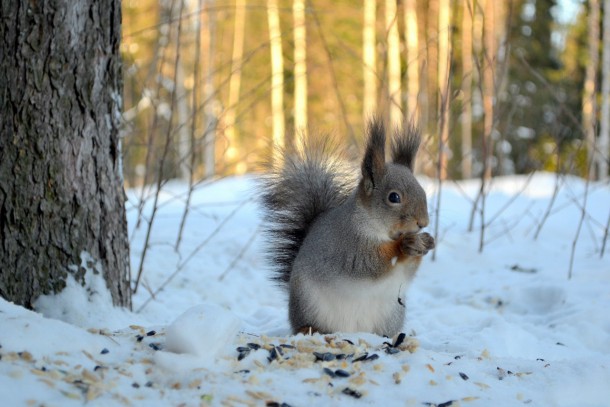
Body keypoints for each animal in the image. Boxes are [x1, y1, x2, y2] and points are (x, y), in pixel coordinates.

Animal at [258, 119, 434, 340]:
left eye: (422, 191)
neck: (378, 229)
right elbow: (370, 263)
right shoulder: (348, 247)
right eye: (394, 197)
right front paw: (405, 245)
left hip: (391, 313)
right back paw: (309, 329)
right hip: (309, 304)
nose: (423, 223)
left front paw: (426, 242)